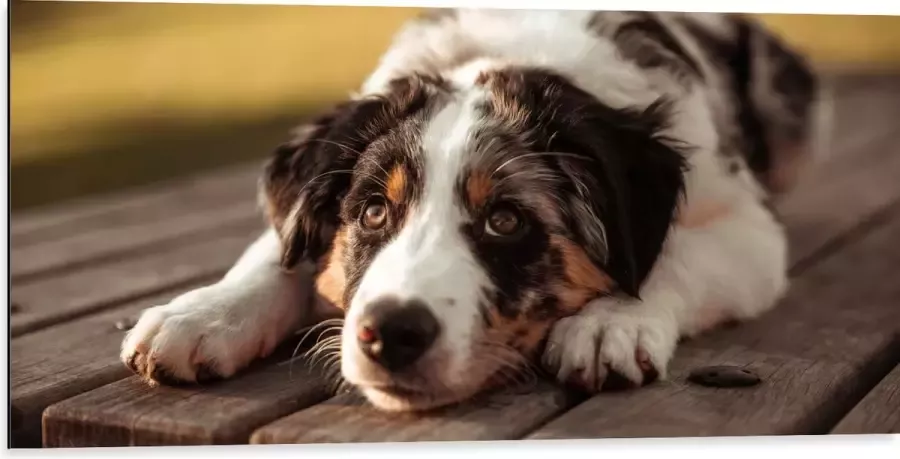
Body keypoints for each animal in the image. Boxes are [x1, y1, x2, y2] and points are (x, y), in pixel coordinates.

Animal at [119, 9, 828, 414]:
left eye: (506, 220)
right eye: (372, 212)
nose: (391, 334)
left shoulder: (749, 227)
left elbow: (672, 254)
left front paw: (611, 324)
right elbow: (277, 250)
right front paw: (201, 315)